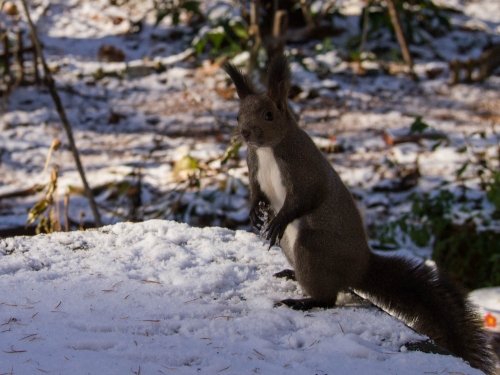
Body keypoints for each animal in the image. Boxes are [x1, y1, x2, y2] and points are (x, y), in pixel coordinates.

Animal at [226, 53, 496, 375]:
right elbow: (258, 193)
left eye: (269, 115)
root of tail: (360, 268)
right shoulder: (254, 166)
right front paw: (255, 213)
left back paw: (303, 301)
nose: (245, 133)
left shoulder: (305, 169)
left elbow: (306, 198)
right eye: (237, 116)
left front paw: (277, 220)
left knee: (328, 298)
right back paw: (292, 274)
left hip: (311, 246)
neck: (268, 149)